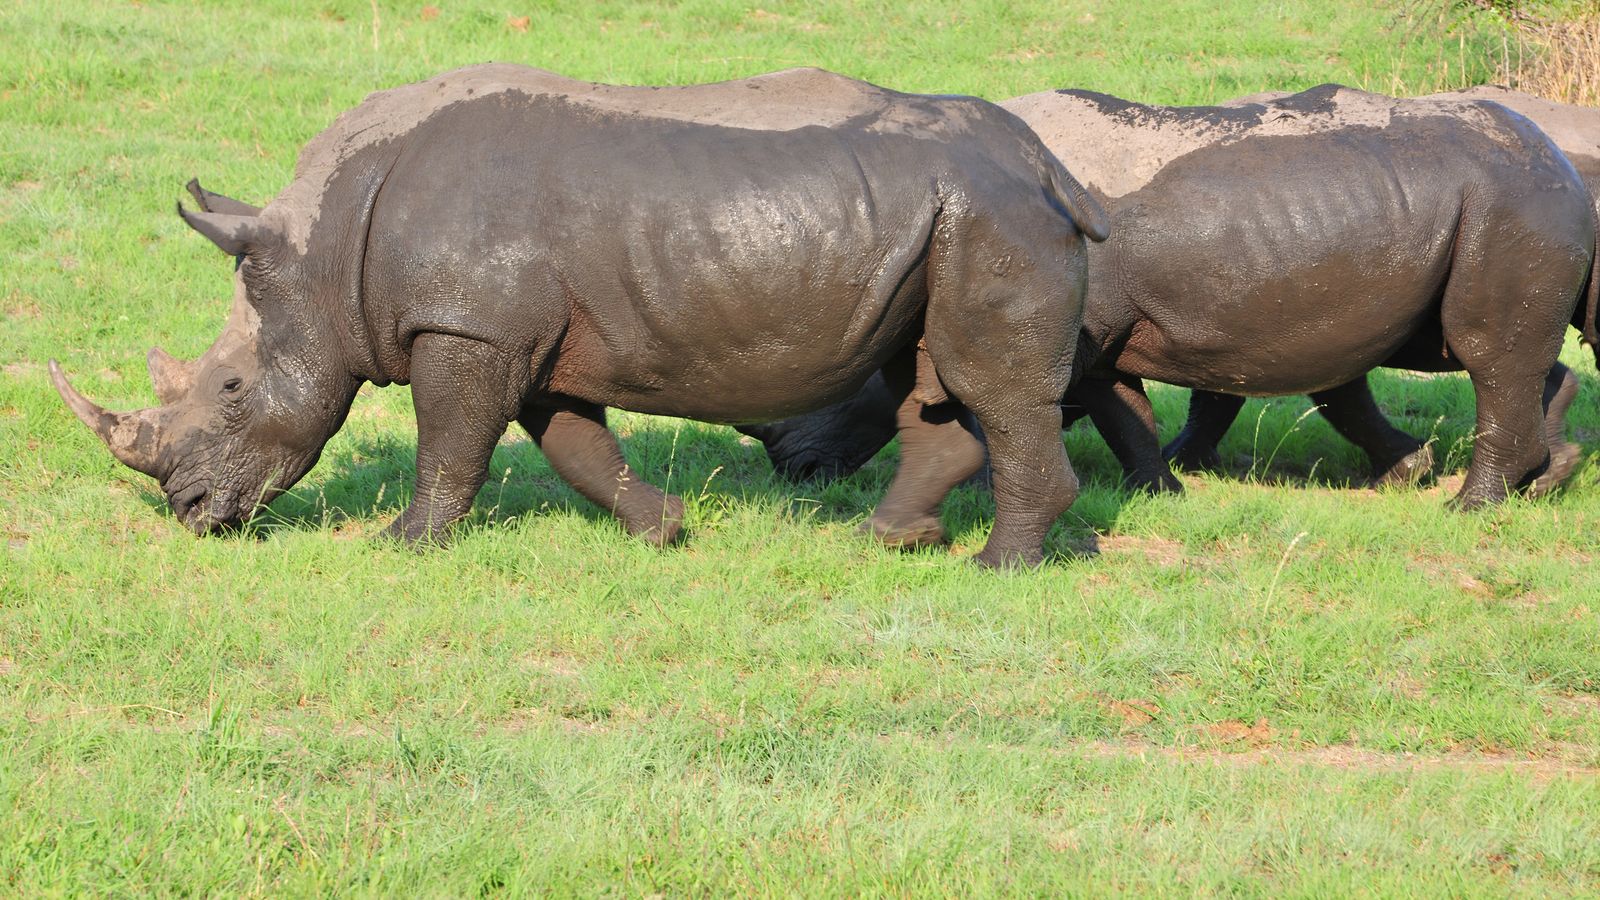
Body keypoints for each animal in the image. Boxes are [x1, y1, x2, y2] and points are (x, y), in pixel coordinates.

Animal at [51, 64, 1111, 568]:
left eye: (233, 390)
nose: (192, 513)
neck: (324, 249)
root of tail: (1046, 163)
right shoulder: (519, 335)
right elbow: (573, 446)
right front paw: (664, 531)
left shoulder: (466, 326)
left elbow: (451, 443)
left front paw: (403, 544)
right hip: (949, 218)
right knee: (930, 379)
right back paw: (887, 543)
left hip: (991, 217)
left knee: (987, 384)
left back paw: (998, 568)